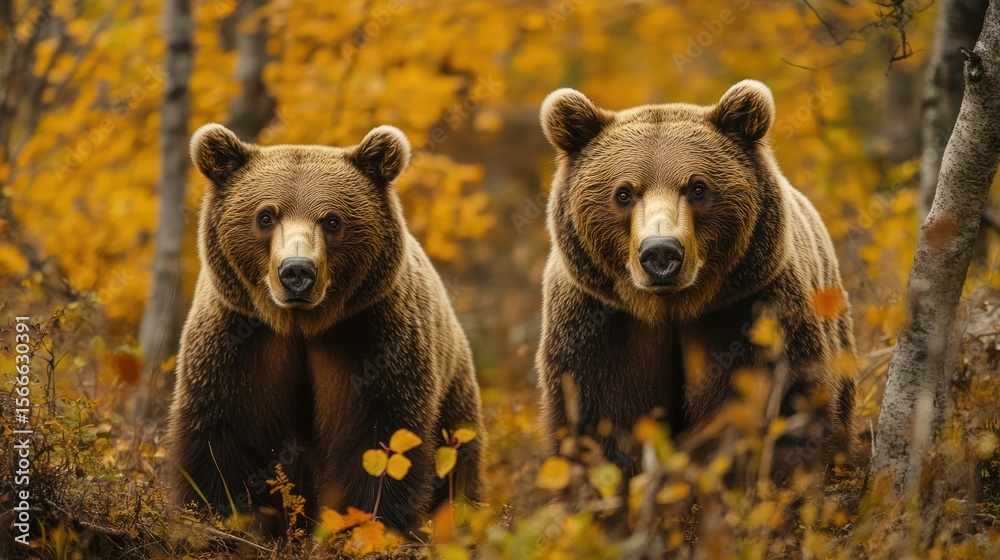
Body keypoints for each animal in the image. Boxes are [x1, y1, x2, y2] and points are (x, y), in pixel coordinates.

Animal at [167, 123, 483, 534]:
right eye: (265, 215)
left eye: (332, 220)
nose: (297, 270)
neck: (300, 326)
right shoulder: (238, 341)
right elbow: (218, 439)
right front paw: (219, 521)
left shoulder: (370, 339)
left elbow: (377, 442)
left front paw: (365, 527)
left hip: (454, 401)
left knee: (459, 471)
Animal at [536, 80, 856, 481]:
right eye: (623, 192)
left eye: (697, 187)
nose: (661, 252)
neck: (670, 307)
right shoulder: (599, 325)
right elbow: (599, 420)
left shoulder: (748, 311)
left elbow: (770, 410)